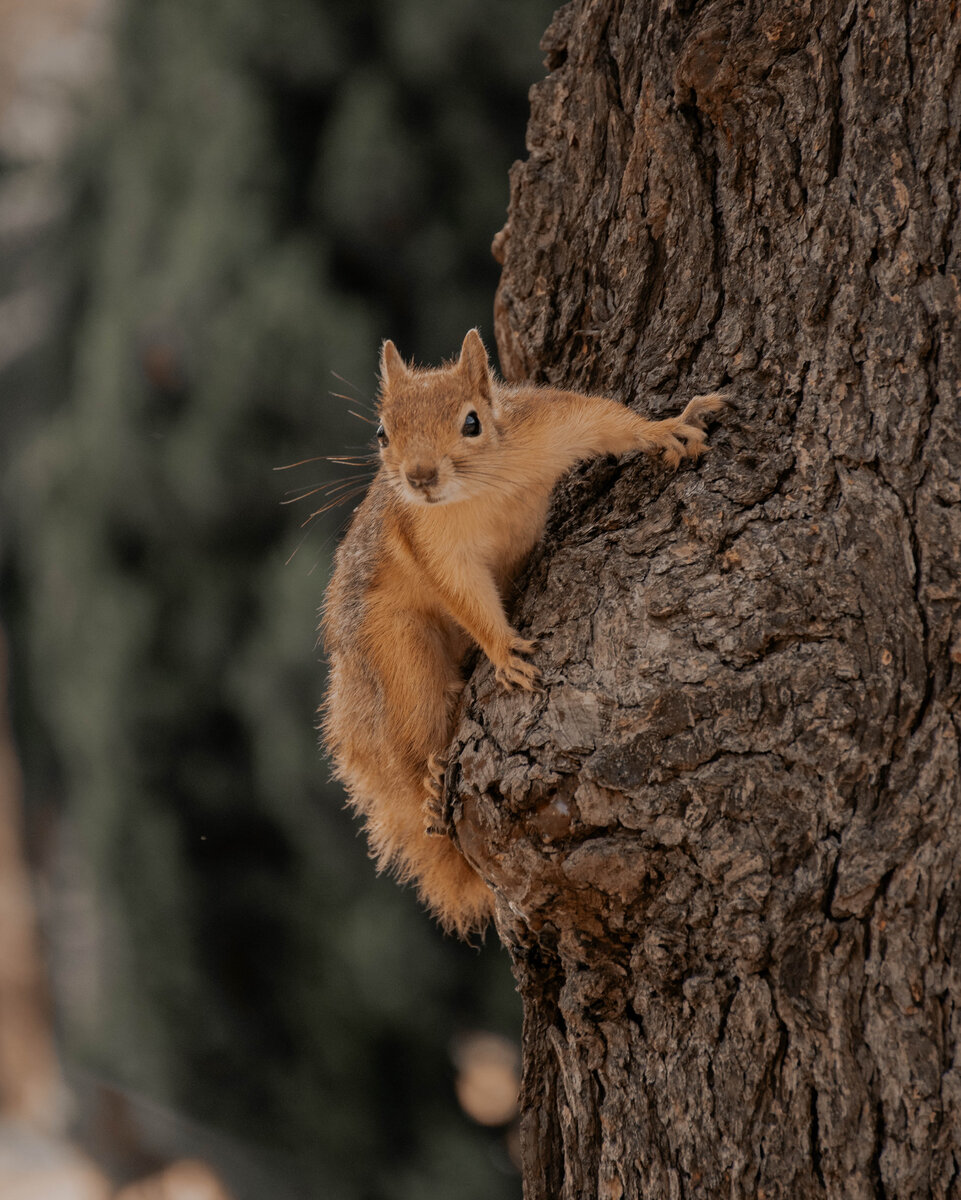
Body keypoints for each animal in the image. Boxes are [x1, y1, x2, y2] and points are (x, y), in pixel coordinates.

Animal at [319, 331, 724, 936]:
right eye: (382, 433)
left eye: (472, 422)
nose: (419, 477)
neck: (478, 490)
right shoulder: (430, 541)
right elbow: (464, 593)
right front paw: (504, 649)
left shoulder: (545, 428)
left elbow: (604, 421)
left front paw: (668, 426)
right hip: (398, 648)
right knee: (415, 732)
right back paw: (430, 783)